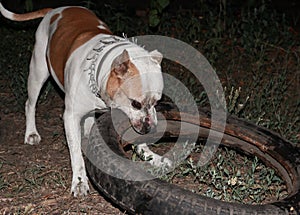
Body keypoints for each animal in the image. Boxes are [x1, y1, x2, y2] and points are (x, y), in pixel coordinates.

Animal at [0, 4, 164, 197]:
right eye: (136, 103)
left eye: (157, 102)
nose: (150, 129)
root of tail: (56, 9)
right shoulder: (71, 117)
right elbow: (76, 153)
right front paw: (79, 181)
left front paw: (152, 156)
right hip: (38, 72)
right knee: (30, 104)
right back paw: (31, 133)